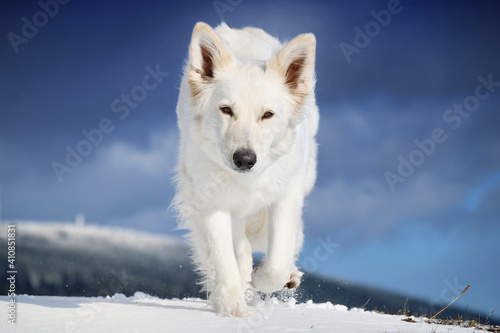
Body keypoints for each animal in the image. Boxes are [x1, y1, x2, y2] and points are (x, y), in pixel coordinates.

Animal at [174, 22, 318, 316]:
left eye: (268, 115)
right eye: (226, 110)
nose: (244, 159)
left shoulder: (286, 197)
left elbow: (277, 261)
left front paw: (264, 279)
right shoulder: (210, 204)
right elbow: (223, 260)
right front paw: (233, 310)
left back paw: (286, 276)